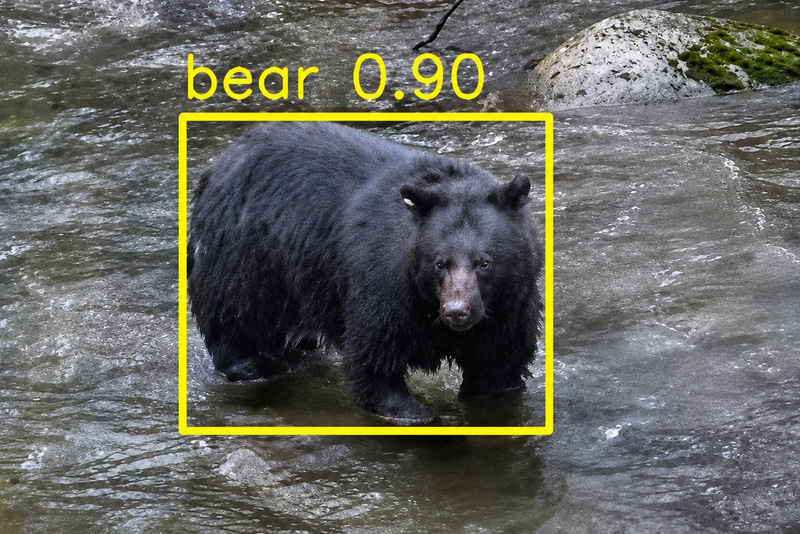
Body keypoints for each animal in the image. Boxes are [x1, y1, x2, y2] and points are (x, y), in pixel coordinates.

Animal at [188, 121, 543, 424]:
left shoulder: (510, 306)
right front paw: (412, 411)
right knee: (233, 310)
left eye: (484, 262)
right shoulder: (381, 282)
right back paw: (248, 364)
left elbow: (499, 362)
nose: (457, 311)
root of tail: (224, 159)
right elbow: (374, 356)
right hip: (243, 250)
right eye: (440, 263)